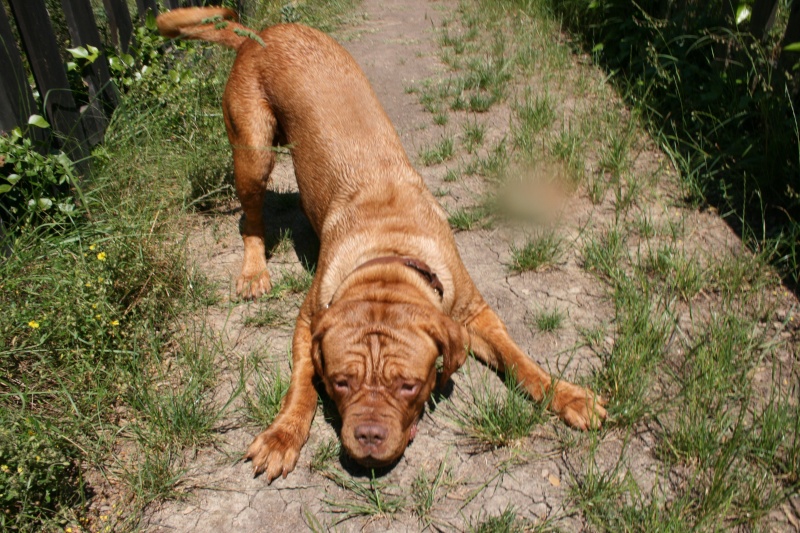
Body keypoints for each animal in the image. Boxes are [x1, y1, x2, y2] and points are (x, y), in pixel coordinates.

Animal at [158, 7, 608, 482]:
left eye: (409, 385)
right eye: (340, 382)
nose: (370, 437)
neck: (388, 254)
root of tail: (259, 33)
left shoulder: (474, 314)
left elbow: (520, 361)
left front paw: (569, 395)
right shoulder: (308, 323)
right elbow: (301, 383)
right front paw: (283, 434)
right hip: (253, 151)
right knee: (251, 216)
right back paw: (253, 270)